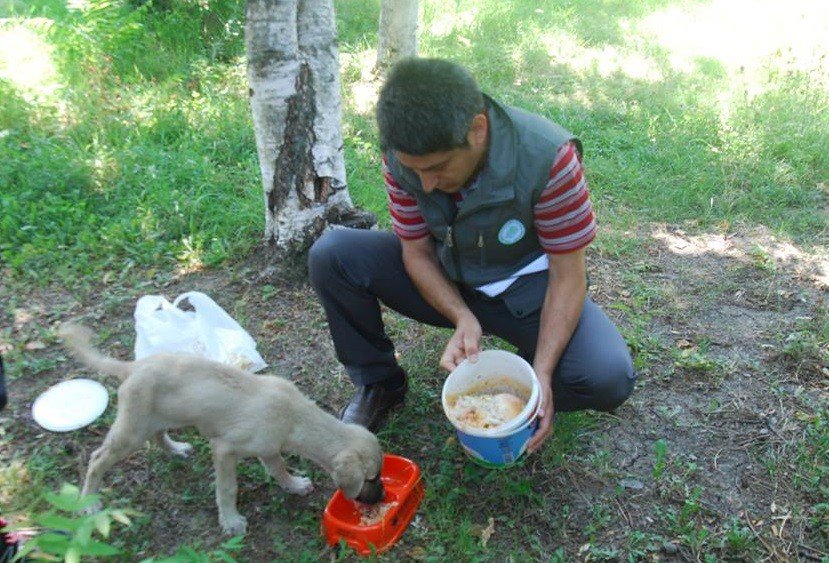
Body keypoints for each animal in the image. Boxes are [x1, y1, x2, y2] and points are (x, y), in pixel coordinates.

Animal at [58, 324, 384, 536]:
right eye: (370, 478)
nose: (380, 497)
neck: (294, 415)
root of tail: (132, 367)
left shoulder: (268, 447)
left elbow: (278, 468)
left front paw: (293, 485)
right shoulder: (225, 450)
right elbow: (227, 489)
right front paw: (231, 521)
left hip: (163, 417)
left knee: (158, 434)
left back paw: (177, 449)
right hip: (131, 431)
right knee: (98, 458)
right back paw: (90, 503)